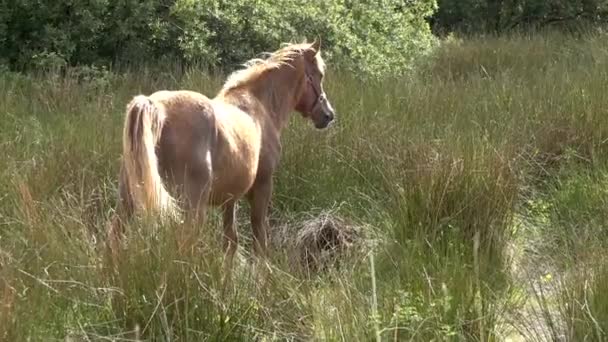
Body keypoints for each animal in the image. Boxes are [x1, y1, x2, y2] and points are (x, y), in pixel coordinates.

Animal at [116, 40, 334, 270]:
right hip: (190, 207)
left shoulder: (230, 198)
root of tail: (156, 106)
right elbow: (259, 234)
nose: (328, 115)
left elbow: (230, 241)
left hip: (127, 203)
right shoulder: (263, 186)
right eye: (319, 74)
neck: (260, 105)